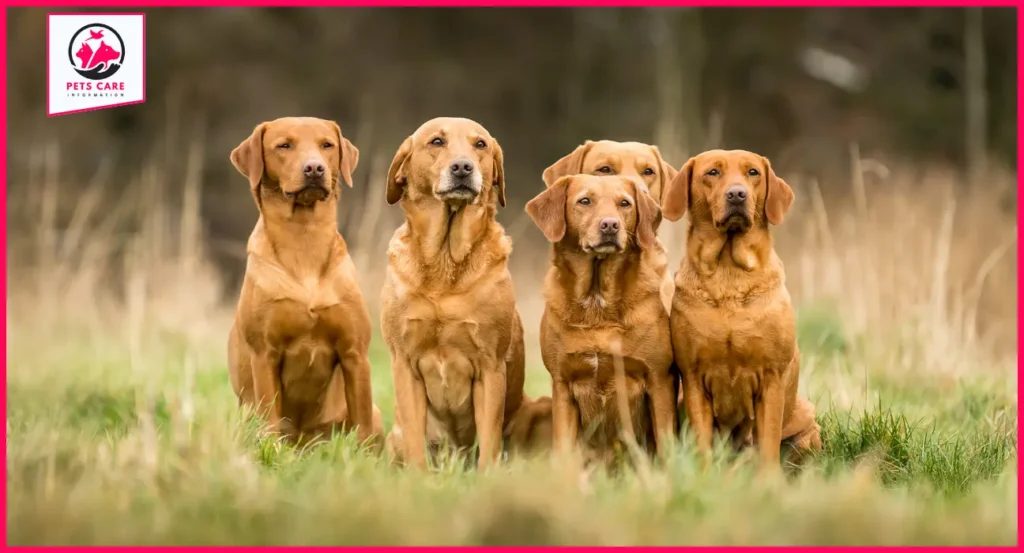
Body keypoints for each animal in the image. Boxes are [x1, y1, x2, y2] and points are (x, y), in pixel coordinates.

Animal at [228, 115, 385, 444]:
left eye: (327, 145)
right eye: (284, 145)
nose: (314, 168)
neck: (304, 239)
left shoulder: (355, 353)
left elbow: (362, 423)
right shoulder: (265, 355)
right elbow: (270, 420)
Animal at [378, 116, 528, 471]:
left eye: (480, 144)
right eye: (436, 141)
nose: (462, 167)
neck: (445, 262)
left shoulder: (490, 367)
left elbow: (489, 440)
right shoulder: (405, 364)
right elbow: (416, 440)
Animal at [528, 175, 679, 460]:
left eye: (625, 203)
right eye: (585, 201)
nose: (610, 225)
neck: (597, 302)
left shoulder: (659, 380)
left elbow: (667, 446)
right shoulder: (562, 385)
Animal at [659, 149, 819, 469]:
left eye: (753, 172)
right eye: (712, 173)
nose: (737, 194)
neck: (728, 272)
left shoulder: (771, 379)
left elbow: (768, 443)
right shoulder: (693, 380)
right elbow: (702, 442)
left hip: (807, 418)